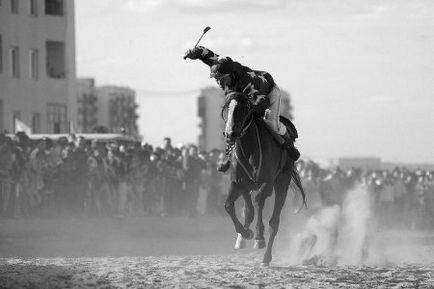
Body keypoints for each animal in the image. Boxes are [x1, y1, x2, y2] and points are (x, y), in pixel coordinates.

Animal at [220, 91, 306, 264]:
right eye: (226, 107)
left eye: (243, 108)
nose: (230, 134)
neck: (249, 148)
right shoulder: (238, 183)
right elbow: (231, 206)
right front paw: (245, 233)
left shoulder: (267, 182)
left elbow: (258, 201)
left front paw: (259, 237)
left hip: (282, 183)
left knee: (274, 221)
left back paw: (266, 257)